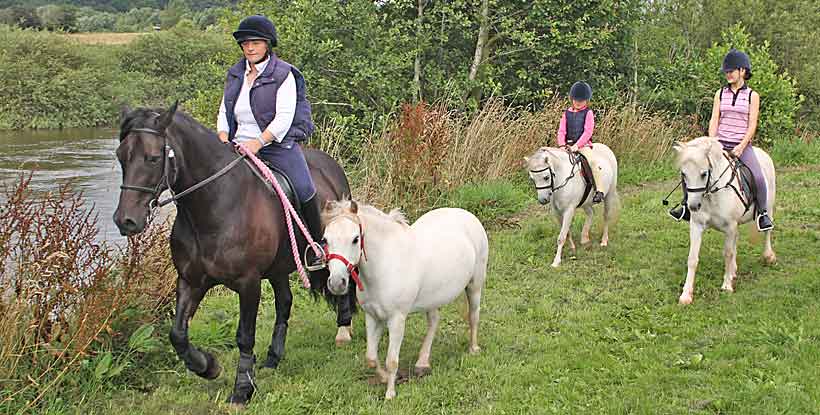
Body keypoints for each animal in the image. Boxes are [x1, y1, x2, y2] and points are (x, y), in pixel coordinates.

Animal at [114, 103, 356, 406]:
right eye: (120, 156)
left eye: (153, 157)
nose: (126, 220)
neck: (214, 205)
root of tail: (331, 166)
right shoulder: (190, 281)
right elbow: (177, 334)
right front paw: (207, 366)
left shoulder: (248, 283)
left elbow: (245, 336)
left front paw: (242, 388)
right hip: (278, 268)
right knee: (285, 302)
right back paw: (273, 357)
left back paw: (344, 330)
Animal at [320, 200, 486, 402]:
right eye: (325, 240)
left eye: (355, 239)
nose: (337, 283)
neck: (385, 264)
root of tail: (467, 215)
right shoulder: (373, 317)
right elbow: (371, 357)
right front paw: (385, 378)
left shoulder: (397, 319)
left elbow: (392, 360)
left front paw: (390, 394)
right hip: (432, 299)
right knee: (434, 322)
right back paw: (422, 363)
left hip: (475, 285)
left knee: (473, 316)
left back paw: (473, 349)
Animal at [672, 138, 776, 304]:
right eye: (683, 174)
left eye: (704, 174)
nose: (693, 206)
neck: (711, 193)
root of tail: (763, 153)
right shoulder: (696, 226)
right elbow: (692, 258)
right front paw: (686, 295)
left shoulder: (730, 226)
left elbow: (727, 253)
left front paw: (727, 286)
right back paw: (733, 270)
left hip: (768, 208)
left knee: (767, 231)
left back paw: (768, 256)